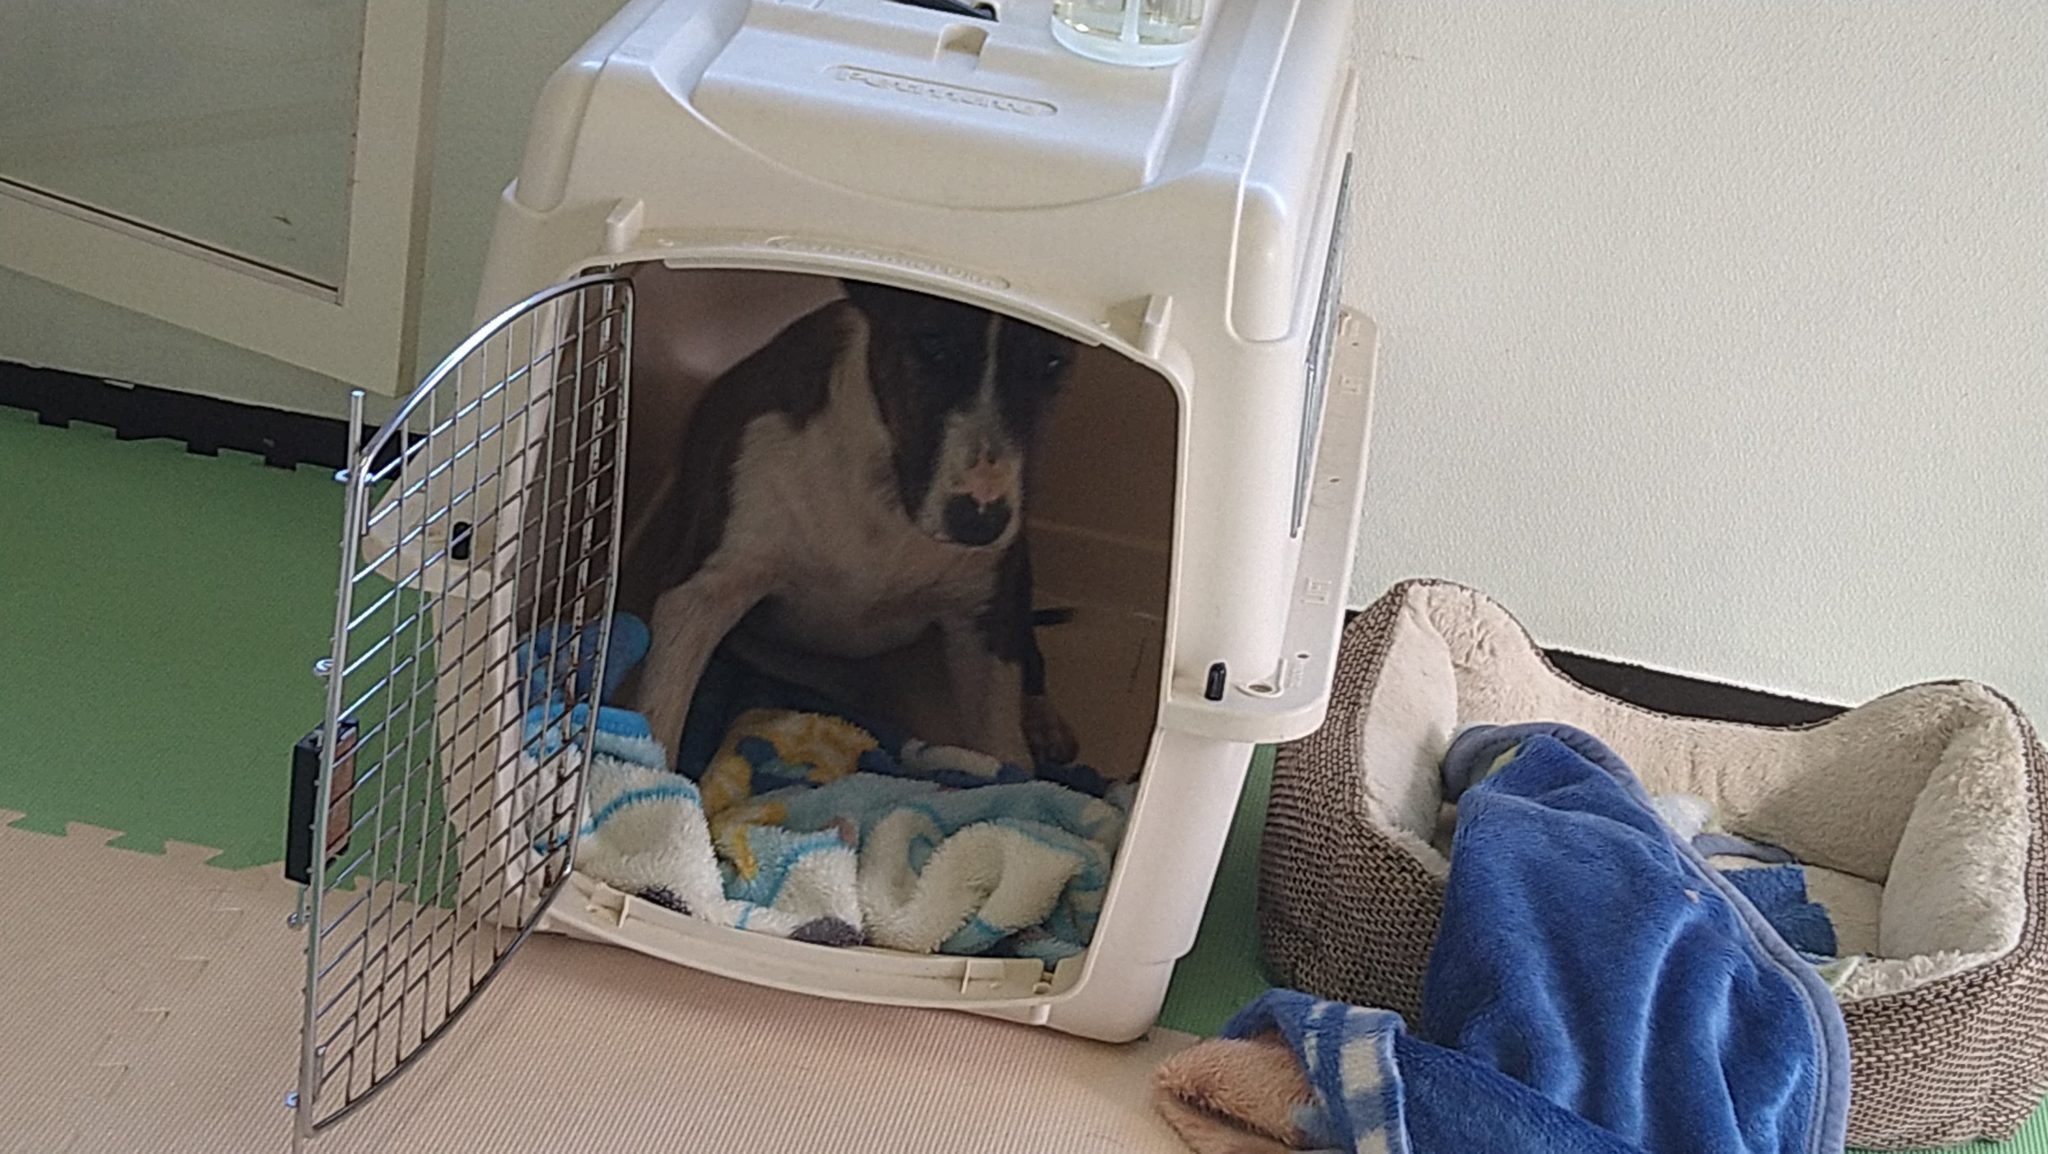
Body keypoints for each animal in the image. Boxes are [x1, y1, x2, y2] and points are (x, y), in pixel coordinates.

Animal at [629, 278, 1080, 772]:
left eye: (1052, 362)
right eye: (932, 344)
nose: (979, 523)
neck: (886, 503)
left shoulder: (985, 614)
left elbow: (1003, 745)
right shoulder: (705, 590)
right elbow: (660, 710)